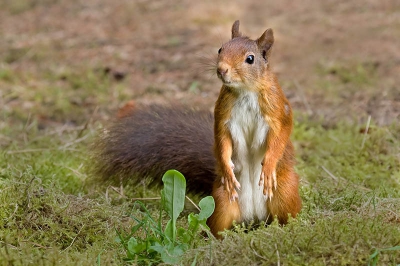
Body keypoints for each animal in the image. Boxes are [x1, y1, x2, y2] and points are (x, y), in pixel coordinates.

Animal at [94, 20, 300, 237]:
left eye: (250, 59)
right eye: (220, 49)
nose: (222, 69)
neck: (245, 90)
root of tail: (255, 220)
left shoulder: (279, 110)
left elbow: (281, 136)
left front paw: (268, 165)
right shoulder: (223, 115)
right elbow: (222, 140)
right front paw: (227, 168)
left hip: (284, 193)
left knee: (287, 215)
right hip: (222, 202)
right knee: (219, 224)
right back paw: (214, 237)